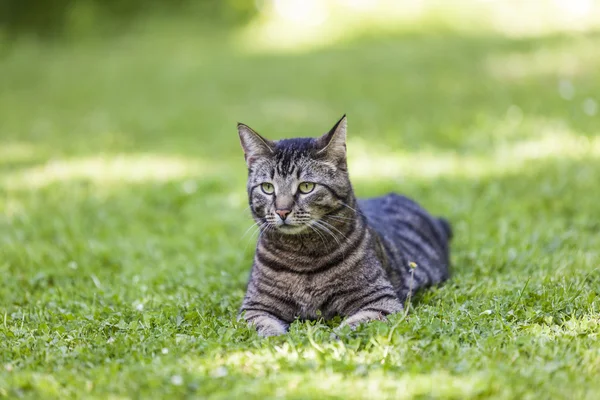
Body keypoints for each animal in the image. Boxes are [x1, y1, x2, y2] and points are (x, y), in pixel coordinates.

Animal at [234, 116, 450, 338]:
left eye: (306, 187)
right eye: (267, 188)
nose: (282, 211)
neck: (302, 257)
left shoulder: (379, 301)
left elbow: (350, 327)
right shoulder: (255, 307)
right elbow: (266, 329)